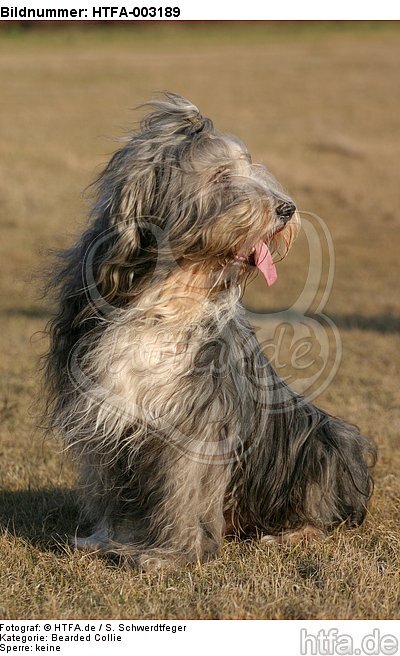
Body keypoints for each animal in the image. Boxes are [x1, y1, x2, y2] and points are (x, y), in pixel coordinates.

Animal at [43, 92, 376, 568]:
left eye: (251, 168)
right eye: (220, 175)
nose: (287, 209)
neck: (169, 290)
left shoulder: (199, 416)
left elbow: (185, 487)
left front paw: (169, 556)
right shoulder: (106, 405)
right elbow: (113, 485)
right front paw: (106, 539)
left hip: (327, 441)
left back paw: (289, 535)